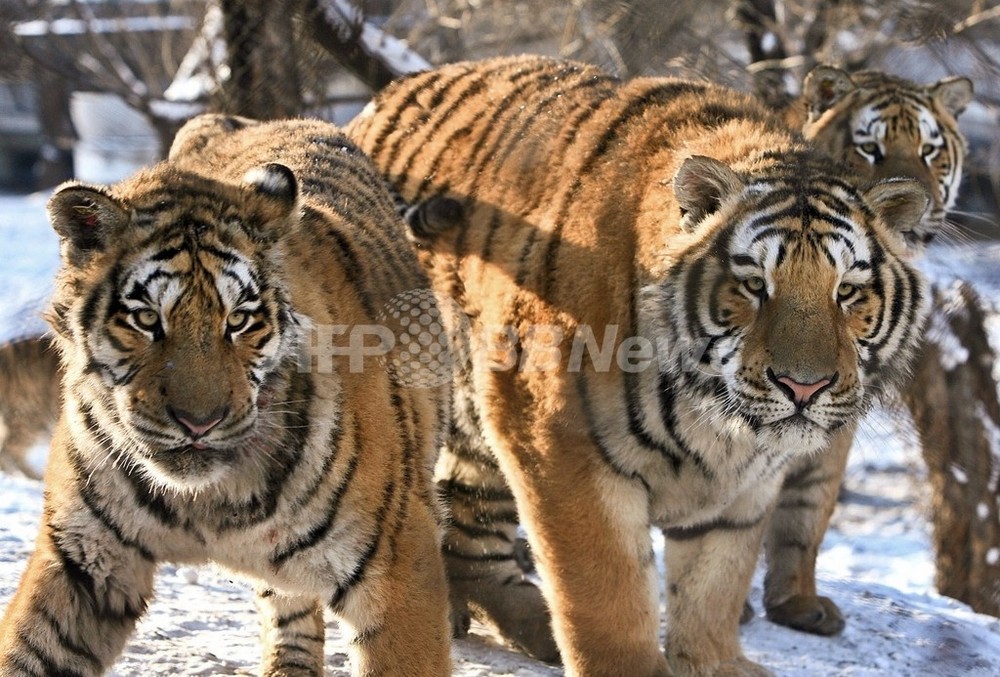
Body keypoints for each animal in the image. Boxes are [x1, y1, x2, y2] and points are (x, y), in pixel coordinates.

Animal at [348, 55, 932, 672]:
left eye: (846, 292)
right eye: (754, 285)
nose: (804, 387)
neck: (719, 426)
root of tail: (382, 99)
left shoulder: (746, 490)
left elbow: (715, 585)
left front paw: (715, 664)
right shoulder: (558, 442)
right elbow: (606, 590)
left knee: (472, 526)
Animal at [752, 60, 972, 636]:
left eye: (930, 150)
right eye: (869, 148)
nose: (916, 205)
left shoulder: (836, 411)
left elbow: (810, 509)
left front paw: (798, 604)